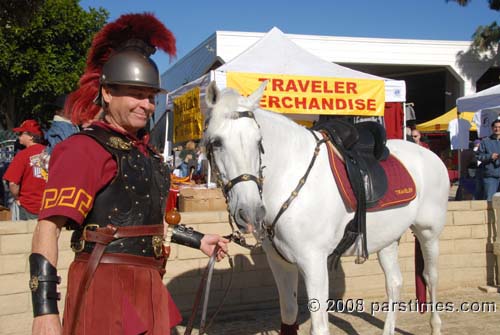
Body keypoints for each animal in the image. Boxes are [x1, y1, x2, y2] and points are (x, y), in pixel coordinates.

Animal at [203, 82, 450, 335]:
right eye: (216, 142)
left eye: (258, 141)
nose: (250, 211)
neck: (290, 175)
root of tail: (430, 155)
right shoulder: (280, 262)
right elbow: (288, 316)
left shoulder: (314, 263)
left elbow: (319, 327)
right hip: (388, 239)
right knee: (394, 282)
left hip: (429, 234)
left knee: (431, 276)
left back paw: (435, 326)